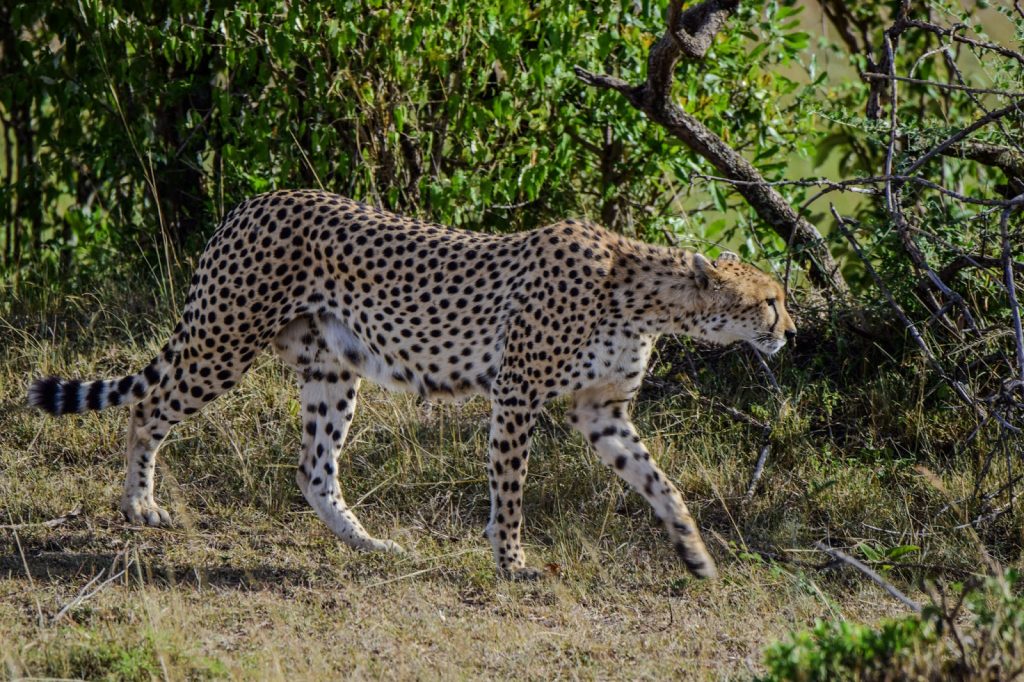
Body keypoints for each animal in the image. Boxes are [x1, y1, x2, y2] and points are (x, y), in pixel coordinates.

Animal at [28, 189, 796, 580]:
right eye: (769, 300)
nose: (789, 330)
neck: (641, 293)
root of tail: (257, 199)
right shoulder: (517, 394)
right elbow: (510, 491)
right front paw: (512, 562)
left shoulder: (601, 411)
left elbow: (661, 484)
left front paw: (695, 554)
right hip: (224, 342)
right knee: (147, 410)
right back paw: (140, 506)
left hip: (332, 369)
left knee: (314, 468)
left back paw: (369, 546)